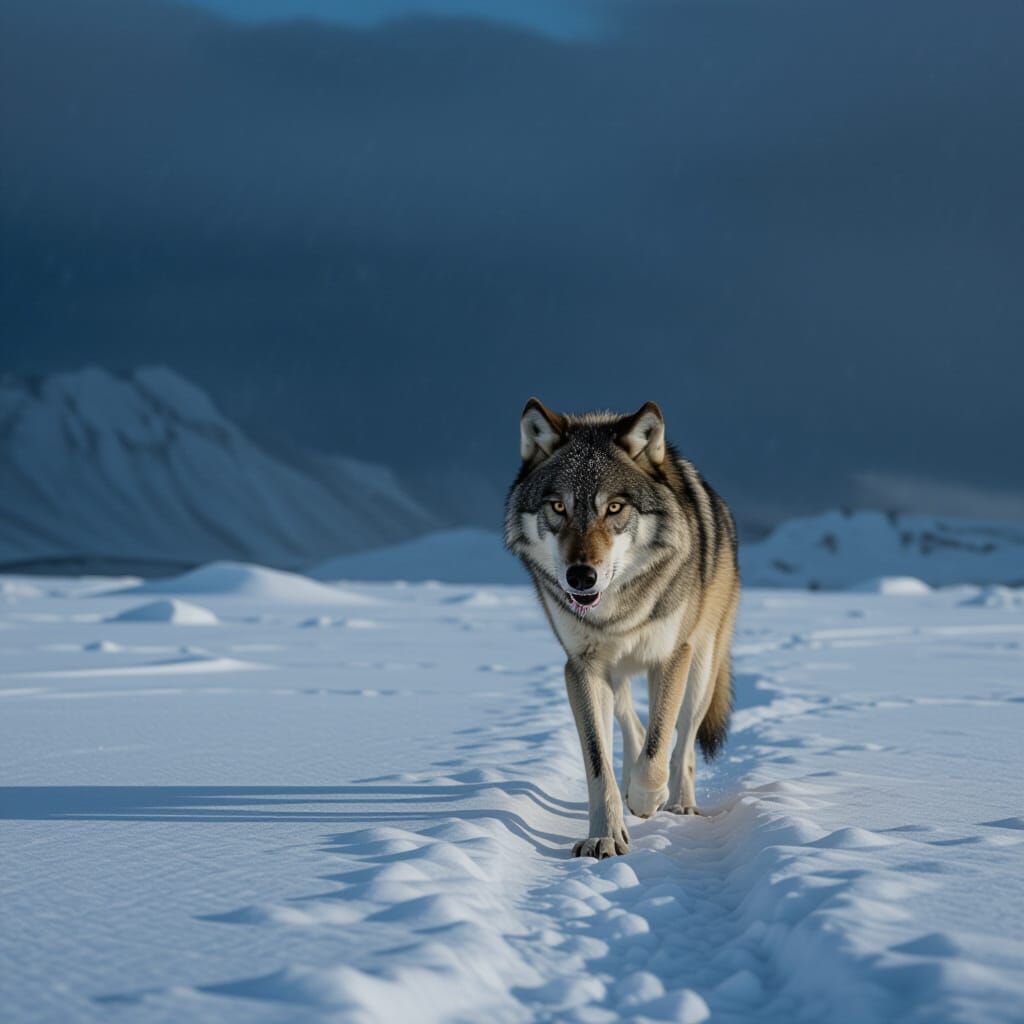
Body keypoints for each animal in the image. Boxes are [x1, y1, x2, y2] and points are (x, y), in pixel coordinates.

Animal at [504, 399, 740, 859]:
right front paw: (605, 834)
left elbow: (658, 750)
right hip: (617, 674)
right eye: (558, 507)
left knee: (683, 744)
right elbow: (600, 763)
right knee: (632, 723)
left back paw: (680, 804)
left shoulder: (670, 657)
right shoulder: (581, 667)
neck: (617, 610)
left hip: (701, 668)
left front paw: (647, 799)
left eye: (614, 508)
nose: (581, 577)